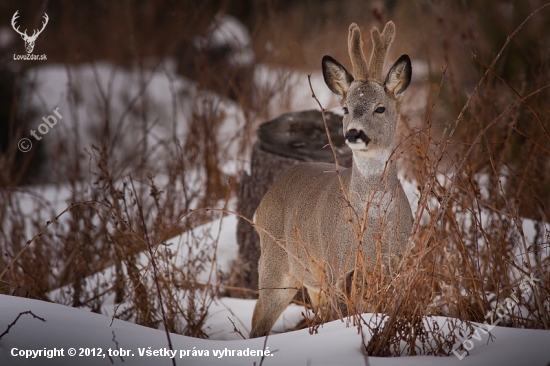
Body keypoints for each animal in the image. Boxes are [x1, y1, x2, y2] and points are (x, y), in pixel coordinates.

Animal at [251, 21, 414, 338]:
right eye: (346, 108)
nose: (353, 133)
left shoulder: (395, 265)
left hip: (313, 280)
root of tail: (261, 204)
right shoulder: (338, 267)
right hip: (276, 265)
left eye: (380, 108)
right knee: (258, 320)